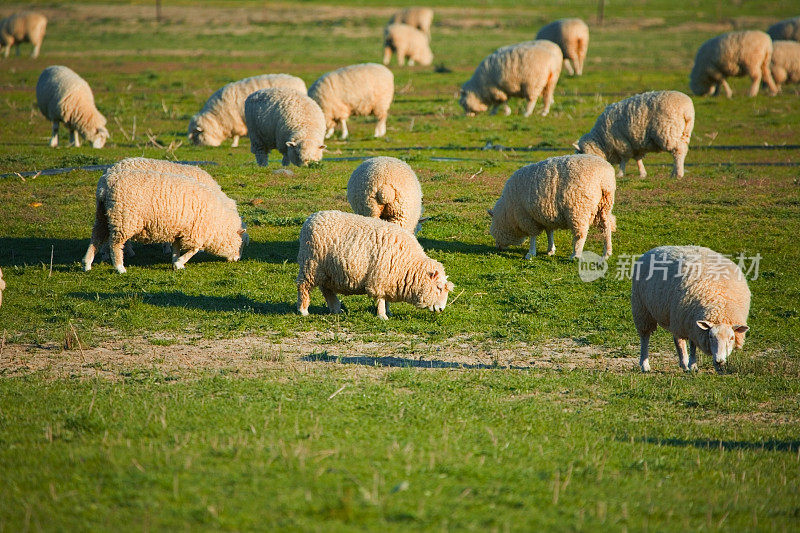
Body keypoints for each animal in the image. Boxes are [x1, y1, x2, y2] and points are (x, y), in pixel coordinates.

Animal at [82, 167, 247, 274]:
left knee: (96, 238)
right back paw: (119, 267)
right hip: (124, 219)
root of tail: (105, 184)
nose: (238, 259)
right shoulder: (195, 232)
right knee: (115, 244)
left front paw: (176, 263)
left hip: (102, 215)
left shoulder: (179, 230)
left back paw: (87, 264)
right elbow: (194, 249)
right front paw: (180, 262)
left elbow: (176, 248)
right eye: (241, 244)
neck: (218, 221)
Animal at [296, 211, 454, 320]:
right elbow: (380, 298)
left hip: (327, 271)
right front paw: (382, 315)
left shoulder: (390, 280)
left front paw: (388, 311)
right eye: (439, 288)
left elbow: (386, 299)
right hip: (310, 264)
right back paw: (303, 311)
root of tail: (311, 218)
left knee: (326, 289)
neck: (408, 264)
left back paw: (336, 309)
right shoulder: (380, 277)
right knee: (303, 286)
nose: (441, 309)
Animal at [484, 154, 616, 260]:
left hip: (579, 208)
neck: (508, 213)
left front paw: (531, 253)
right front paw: (550, 249)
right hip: (604, 206)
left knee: (581, 233)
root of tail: (604, 178)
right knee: (607, 227)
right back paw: (606, 253)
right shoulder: (546, 215)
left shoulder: (527, 217)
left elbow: (532, 236)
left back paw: (575, 255)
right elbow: (549, 232)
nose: (498, 247)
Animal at [632, 244, 752, 372]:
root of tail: (655, 249)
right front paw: (693, 365)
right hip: (642, 308)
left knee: (677, 338)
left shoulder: (690, 322)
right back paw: (645, 364)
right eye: (710, 336)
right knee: (645, 336)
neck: (719, 302)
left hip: (675, 315)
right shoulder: (691, 323)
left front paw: (716, 367)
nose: (719, 361)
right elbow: (693, 346)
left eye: (731, 338)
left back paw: (683, 363)